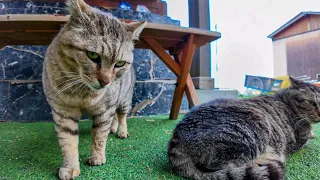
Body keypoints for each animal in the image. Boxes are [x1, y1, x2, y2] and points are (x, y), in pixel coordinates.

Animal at [42, 0, 146, 179]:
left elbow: (99, 136)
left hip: (124, 99)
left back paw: (121, 131)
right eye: (93, 55)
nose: (105, 82)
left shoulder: (105, 109)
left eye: (119, 64)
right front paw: (70, 167)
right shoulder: (63, 112)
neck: (81, 91)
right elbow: (68, 142)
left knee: (121, 116)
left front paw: (97, 157)